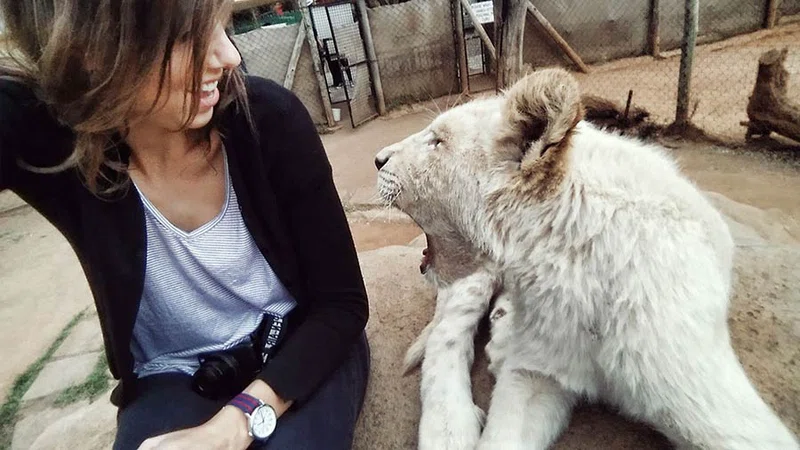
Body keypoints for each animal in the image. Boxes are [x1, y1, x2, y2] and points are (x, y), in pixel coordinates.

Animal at [374, 68, 799, 450]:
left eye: (437, 141)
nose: (377, 159)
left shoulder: (709, 401)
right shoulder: (534, 372)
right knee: (446, 332)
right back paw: (450, 427)